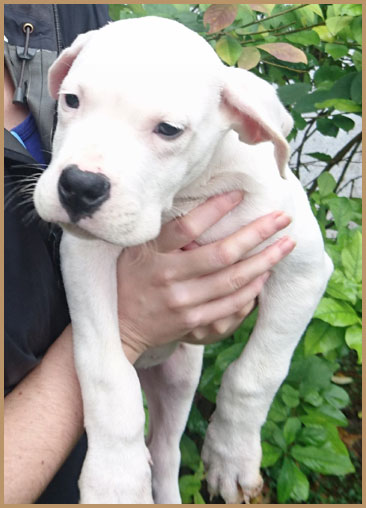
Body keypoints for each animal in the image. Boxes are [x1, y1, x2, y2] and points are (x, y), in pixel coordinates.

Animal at [33, 15, 332, 504]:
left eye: (169, 129)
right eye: (72, 100)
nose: (79, 187)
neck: (182, 200)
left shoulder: (304, 268)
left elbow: (258, 372)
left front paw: (232, 456)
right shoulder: (85, 260)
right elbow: (106, 373)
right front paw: (115, 478)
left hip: (181, 375)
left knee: (168, 451)